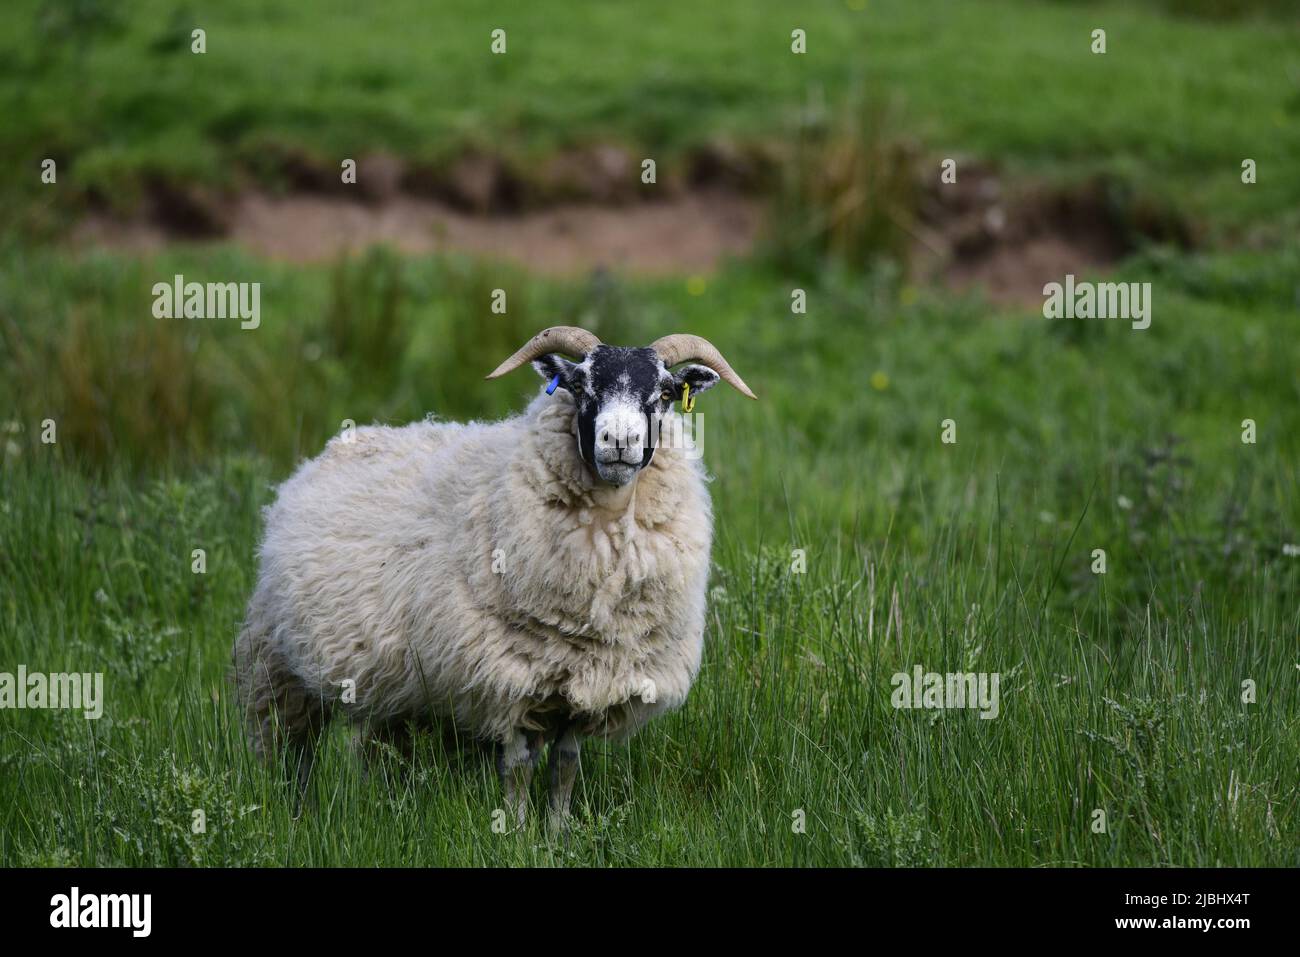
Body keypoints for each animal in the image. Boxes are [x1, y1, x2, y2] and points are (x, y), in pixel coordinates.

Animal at [236, 325, 754, 826]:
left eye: (664, 392)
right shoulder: (507, 680)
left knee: (380, 750)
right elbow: (519, 768)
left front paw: (557, 835)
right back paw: (292, 814)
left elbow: (565, 768)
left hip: (394, 683)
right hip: (277, 666)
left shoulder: (587, 682)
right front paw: (519, 834)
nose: (619, 441)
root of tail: (336, 446)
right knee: (288, 750)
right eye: (580, 386)